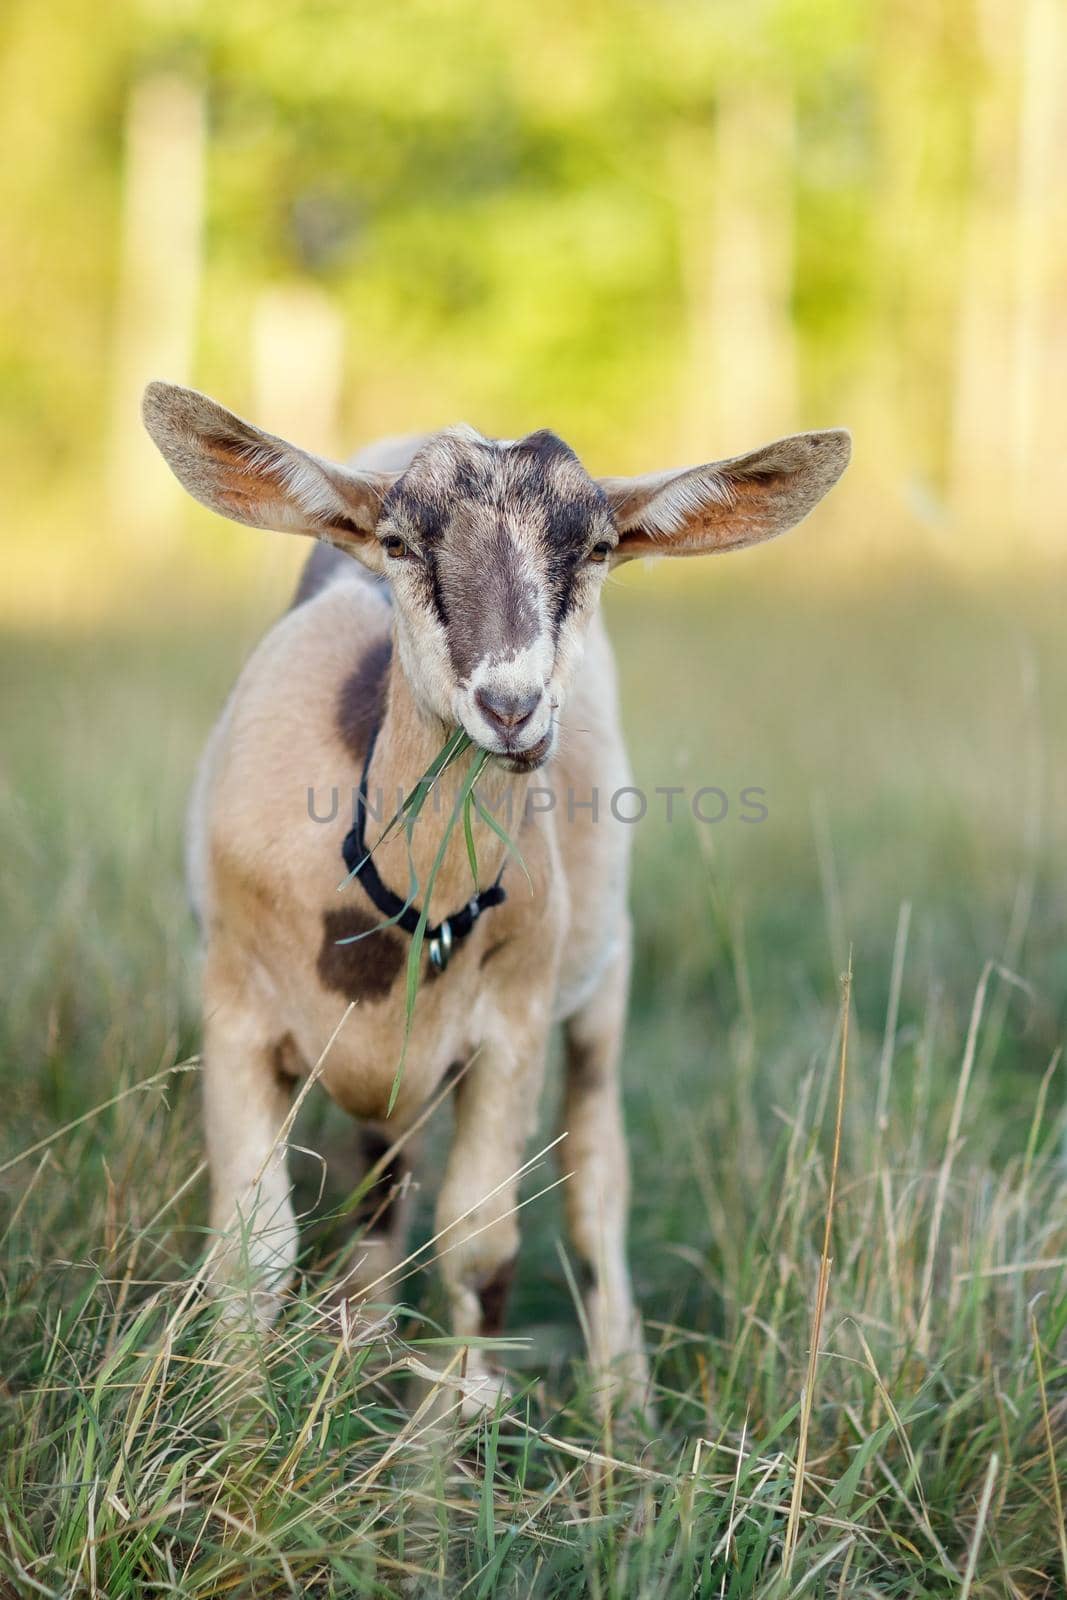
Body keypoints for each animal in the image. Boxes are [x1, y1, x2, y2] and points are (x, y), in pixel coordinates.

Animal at [141, 387, 844, 1414]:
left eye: (597, 546)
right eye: (397, 541)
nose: (510, 708)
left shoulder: (509, 1028)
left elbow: (482, 1251)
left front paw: (442, 1447)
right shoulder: (232, 1009)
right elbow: (254, 1252)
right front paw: (236, 1439)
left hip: (603, 975)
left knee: (593, 1181)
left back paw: (622, 1405)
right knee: (387, 1175)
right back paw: (365, 1340)